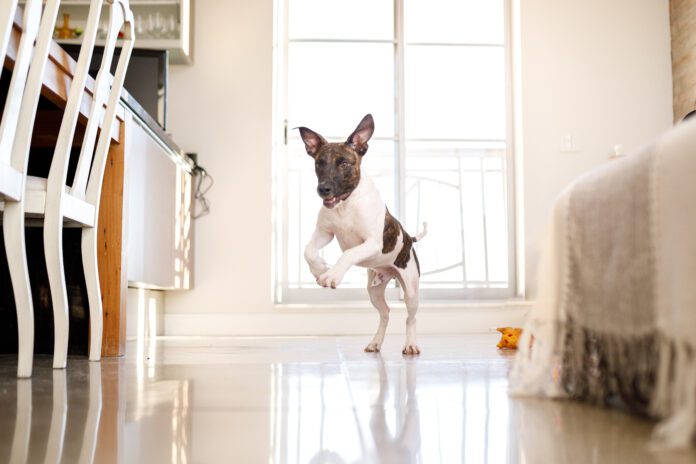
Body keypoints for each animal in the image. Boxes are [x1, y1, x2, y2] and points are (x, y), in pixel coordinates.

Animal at [298, 114, 426, 354]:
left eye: (344, 163)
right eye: (319, 163)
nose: (323, 189)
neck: (346, 204)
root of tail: (409, 239)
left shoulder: (372, 243)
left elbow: (348, 254)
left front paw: (332, 275)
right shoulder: (324, 232)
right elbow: (308, 250)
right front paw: (319, 268)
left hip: (411, 289)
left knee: (411, 318)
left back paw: (411, 344)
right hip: (373, 291)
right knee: (385, 313)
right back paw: (376, 342)